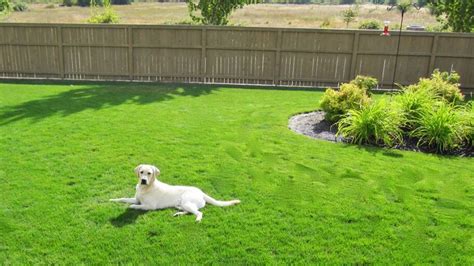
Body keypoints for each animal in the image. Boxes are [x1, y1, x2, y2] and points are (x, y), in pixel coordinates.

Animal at [110, 163, 241, 221]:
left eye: (149, 173)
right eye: (141, 172)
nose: (143, 180)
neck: (145, 188)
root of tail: (201, 191)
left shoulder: (149, 206)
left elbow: (136, 206)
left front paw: (131, 207)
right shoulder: (136, 198)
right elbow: (123, 198)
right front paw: (112, 199)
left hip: (187, 201)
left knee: (199, 212)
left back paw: (197, 219)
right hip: (184, 204)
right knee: (189, 211)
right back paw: (178, 213)